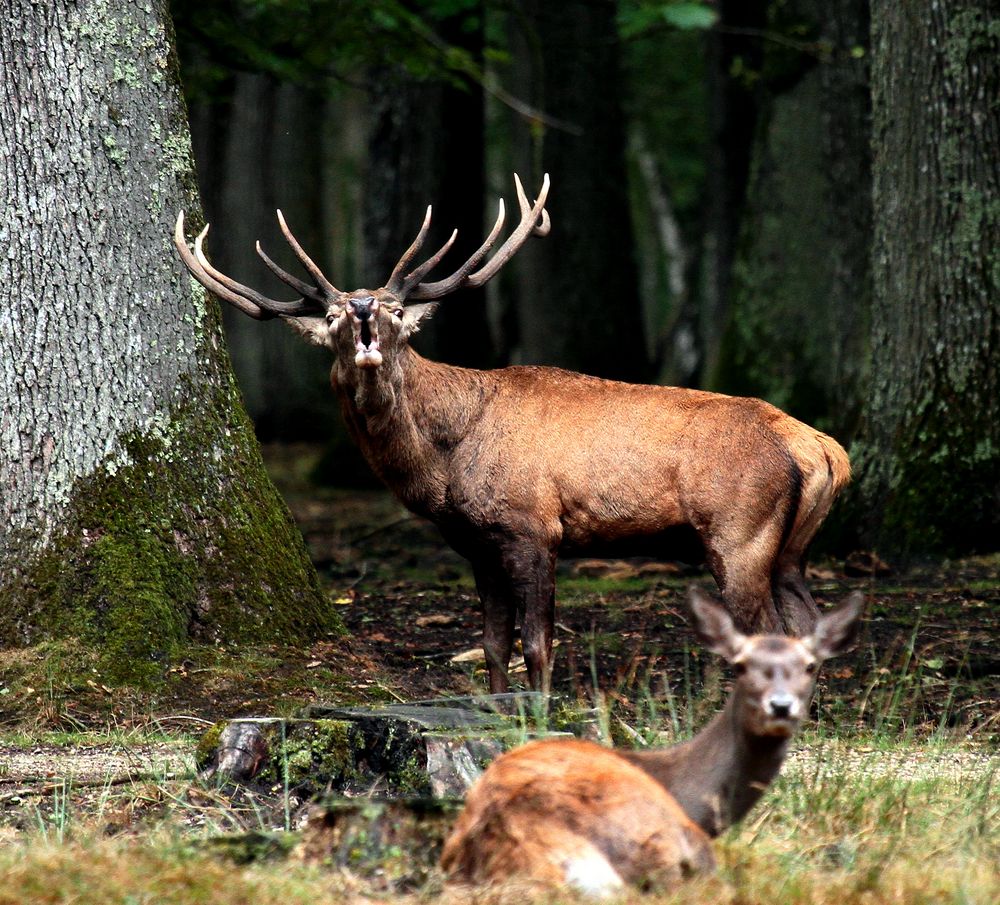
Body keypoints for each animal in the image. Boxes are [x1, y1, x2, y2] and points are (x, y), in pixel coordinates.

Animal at [176, 173, 848, 688]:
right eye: (338, 316)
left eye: (395, 311)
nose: (364, 308)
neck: (442, 471)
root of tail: (821, 448)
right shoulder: (478, 543)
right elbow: (494, 643)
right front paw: (499, 712)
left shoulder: (533, 526)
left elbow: (536, 644)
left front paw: (543, 715)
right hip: (791, 548)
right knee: (805, 627)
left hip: (739, 532)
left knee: (765, 633)